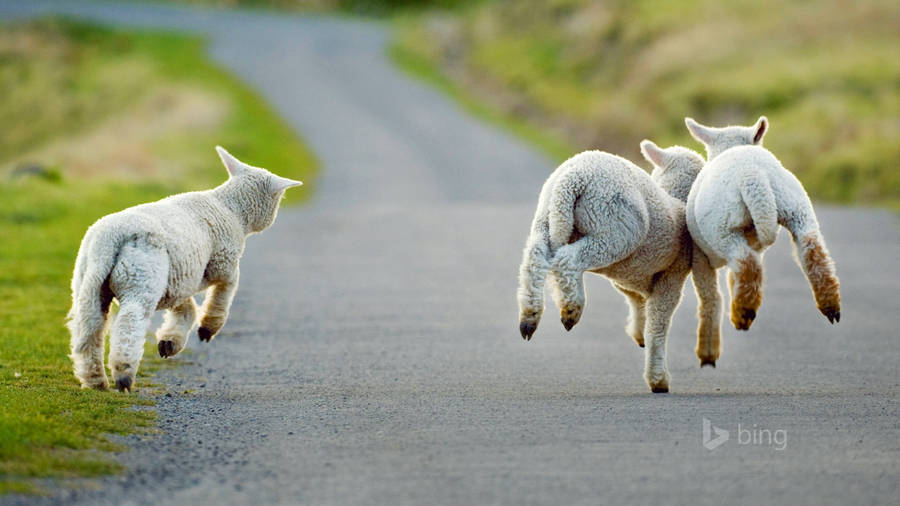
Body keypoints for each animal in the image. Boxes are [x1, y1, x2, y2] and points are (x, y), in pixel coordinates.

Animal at [67, 147, 303, 392]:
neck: (231, 209)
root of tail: (110, 239)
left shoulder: (180, 278)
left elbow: (186, 308)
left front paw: (169, 342)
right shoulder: (221, 263)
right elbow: (226, 288)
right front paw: (208, 327)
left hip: (89, 283)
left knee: (89, 330)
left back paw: (95, 381)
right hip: (141, 278)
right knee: (129, 322)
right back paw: (123, 375)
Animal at [516, 146, 708, 393]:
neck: (676, 198)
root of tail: (573, 178)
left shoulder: (630, 277)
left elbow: (637, 301)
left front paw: (639, 333)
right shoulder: (672, 274)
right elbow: (658, 324)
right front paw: (658, 379)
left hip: (546, 217)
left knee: (535, 258)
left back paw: (529, 317)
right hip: (611, 227)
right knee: (568, 259)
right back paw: (571, 310)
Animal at [683, 116, 841, 331]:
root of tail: (752, 174)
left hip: (723, 229)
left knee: (746, 262)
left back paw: (743, 314)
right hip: (796, 206)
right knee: (812, 249)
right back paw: (830, 305)